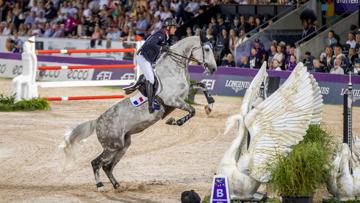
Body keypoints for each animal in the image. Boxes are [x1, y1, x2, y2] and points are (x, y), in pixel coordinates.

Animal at [60, 36, 217, 190]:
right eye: (207, 49)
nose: (214, 68)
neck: (173, 69)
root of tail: (97, 121)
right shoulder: (173, 100)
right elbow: (192, 110)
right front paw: (174, 121)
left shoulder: (185, 94)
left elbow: (202, 86)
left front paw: (209, 105)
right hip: (113, 146)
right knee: (96, 162)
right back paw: (100, 186)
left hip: (123, 145)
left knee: (107, 166)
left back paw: (117, 185)